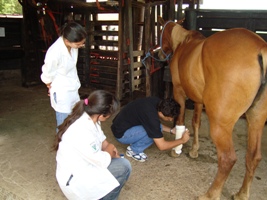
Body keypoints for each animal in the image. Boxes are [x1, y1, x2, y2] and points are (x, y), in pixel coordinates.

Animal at [158, 17, 267, 200]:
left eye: (160, 30)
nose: (159, 54)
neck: (184, 44)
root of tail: (261, 50)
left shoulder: (179, 92)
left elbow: (180, 121)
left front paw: (176, 149)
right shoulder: (198, 100)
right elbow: (196, 123)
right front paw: (194, 150)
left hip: (220, 125)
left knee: (228, 159)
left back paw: (210, 194)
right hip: (256, 120)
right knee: (253, 157)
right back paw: (242, 194)